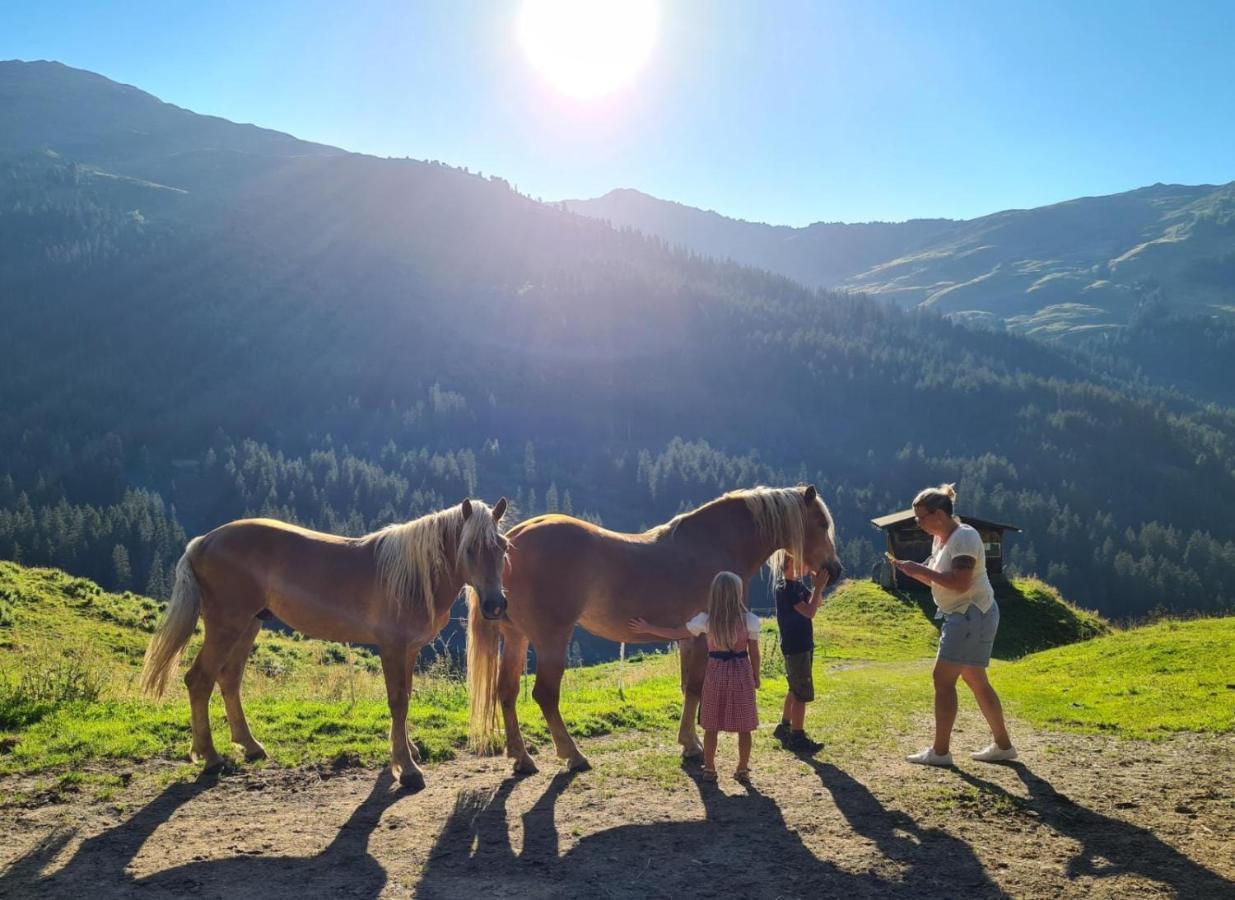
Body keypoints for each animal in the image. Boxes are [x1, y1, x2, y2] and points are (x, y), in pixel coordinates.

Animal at [142, 493, 508, 790]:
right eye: (470, 549)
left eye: (503, 547)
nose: (495, 605)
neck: (411, 575)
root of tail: (203, 541)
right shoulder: (392, 648)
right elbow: (397, 702)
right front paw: (407, 768)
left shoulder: (409, 650)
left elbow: (405, 699)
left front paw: (407, 750)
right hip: (226, 624)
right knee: (199, 679)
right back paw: (210, 756)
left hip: (248, 625)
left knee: (229, 679)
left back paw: (250, 746)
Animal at [466, 483, 844, 770]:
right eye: (820, 523)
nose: (835, 570)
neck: (715, 542)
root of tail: (515, 536)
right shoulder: (704, 636)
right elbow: (696, 687)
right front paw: (693, 745)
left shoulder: (688, 638)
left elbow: (688, 688)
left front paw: (688, 740)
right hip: (550, 639)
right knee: (544, 694)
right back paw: (572, 755)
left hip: (516, 638)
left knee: (506, 692)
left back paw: (522, 758)